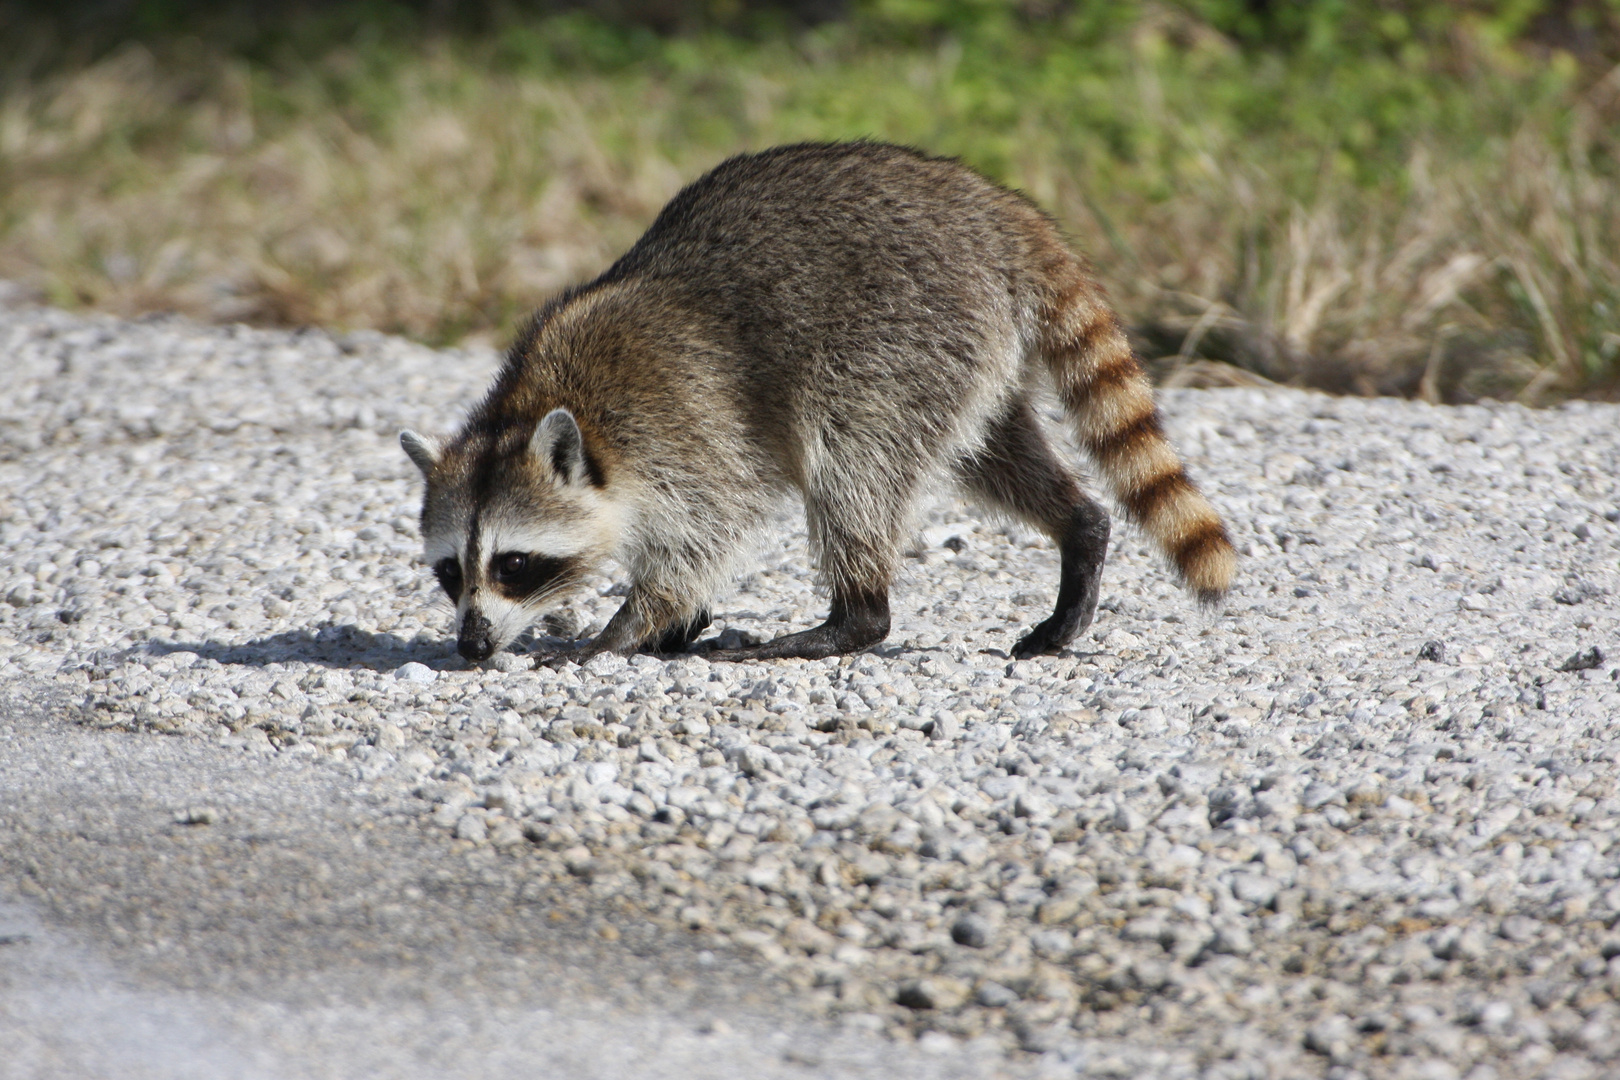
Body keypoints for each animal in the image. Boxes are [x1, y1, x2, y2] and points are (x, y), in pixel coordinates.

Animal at [398, 141, 1231, 667]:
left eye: (513, 564)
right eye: (449, 572)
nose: (471, 645)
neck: (539, 403)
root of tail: (995, 211)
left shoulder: (684, 421)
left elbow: (709, 527)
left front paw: (629, 626)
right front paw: (674, 621)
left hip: (898, 336)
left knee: (853, 462)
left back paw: (851, 617)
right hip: (967, 357)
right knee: (993, 455)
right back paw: (1079, 527)